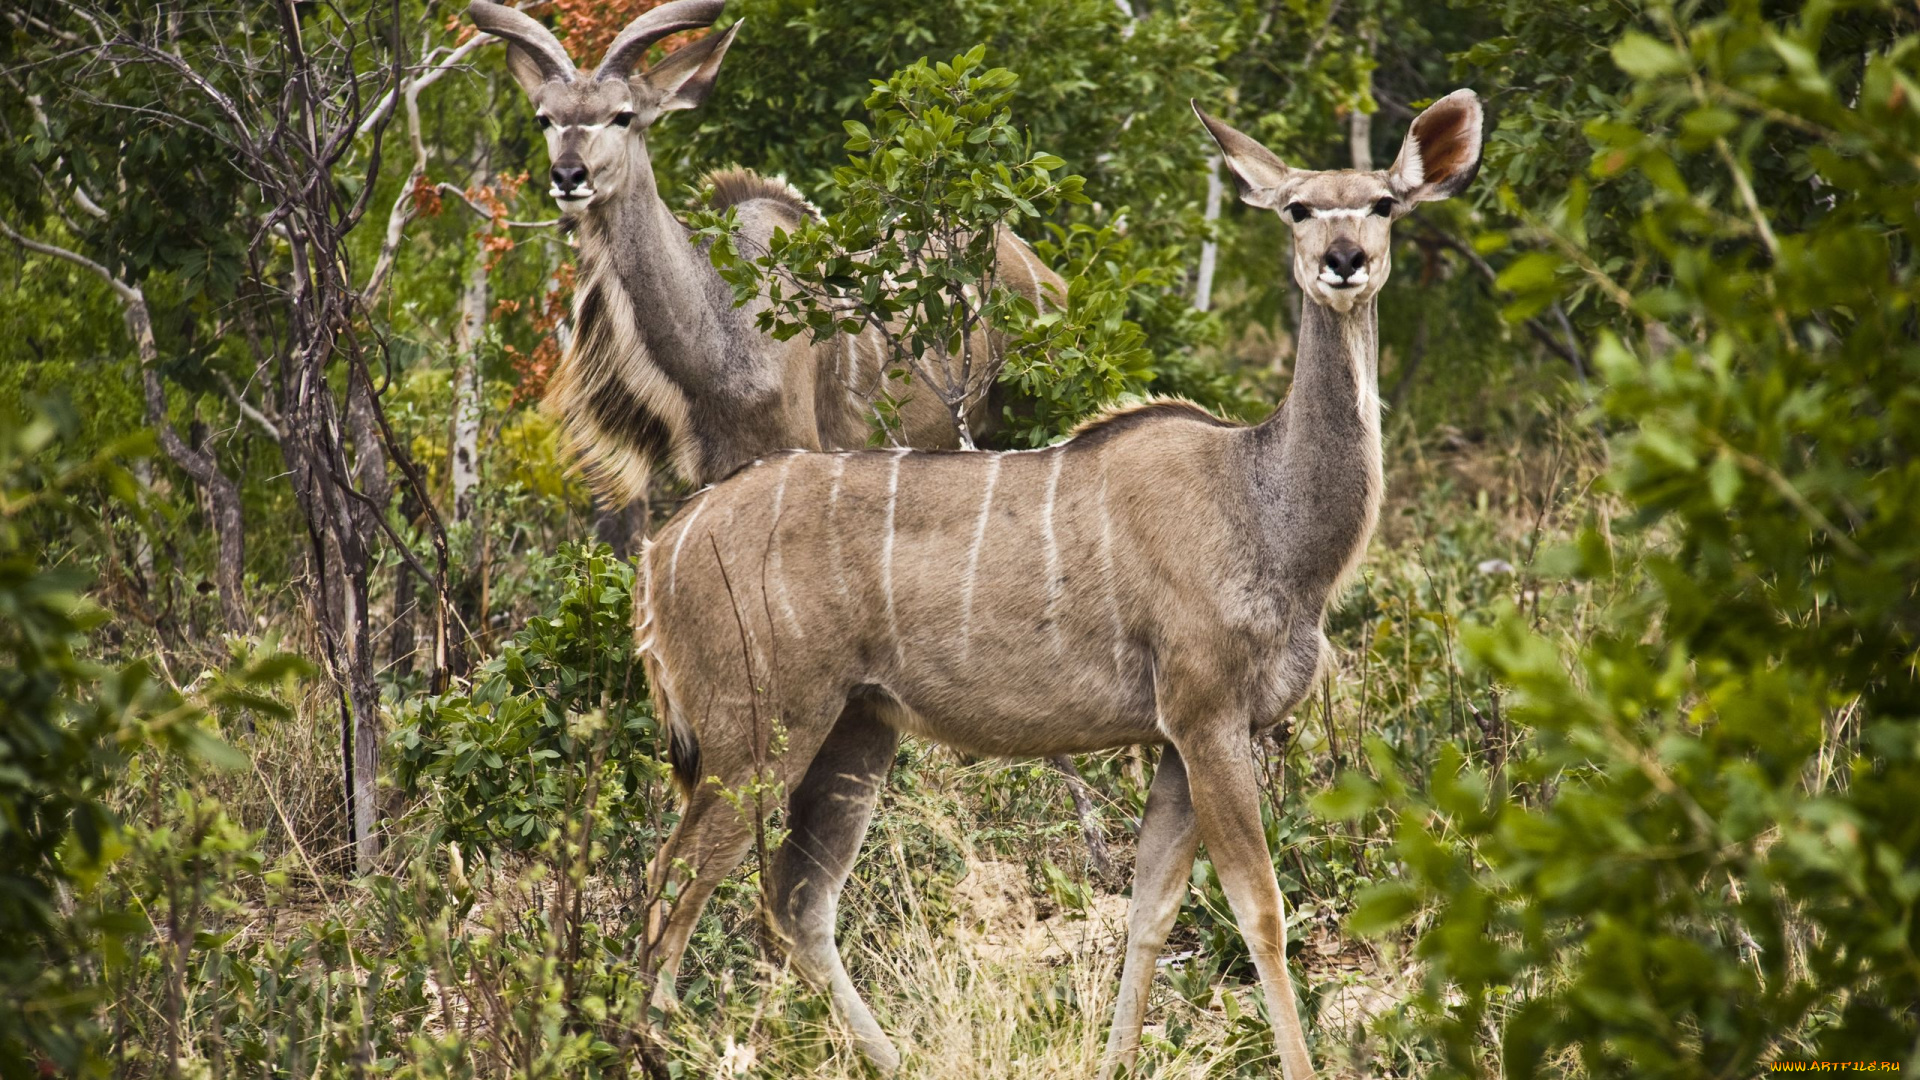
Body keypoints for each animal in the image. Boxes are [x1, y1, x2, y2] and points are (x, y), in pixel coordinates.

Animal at [637, 90, 1474, 1068]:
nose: (1344, 261)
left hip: (856, 728)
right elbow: (1260, 910)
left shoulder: (1178, 739)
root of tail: (661, 552)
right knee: (671, 890)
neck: (1263, 506)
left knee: (795, 901)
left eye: (1383, 204)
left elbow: (1151, 909)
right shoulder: (1207, 715)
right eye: (1299, 208)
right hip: (756, 730)